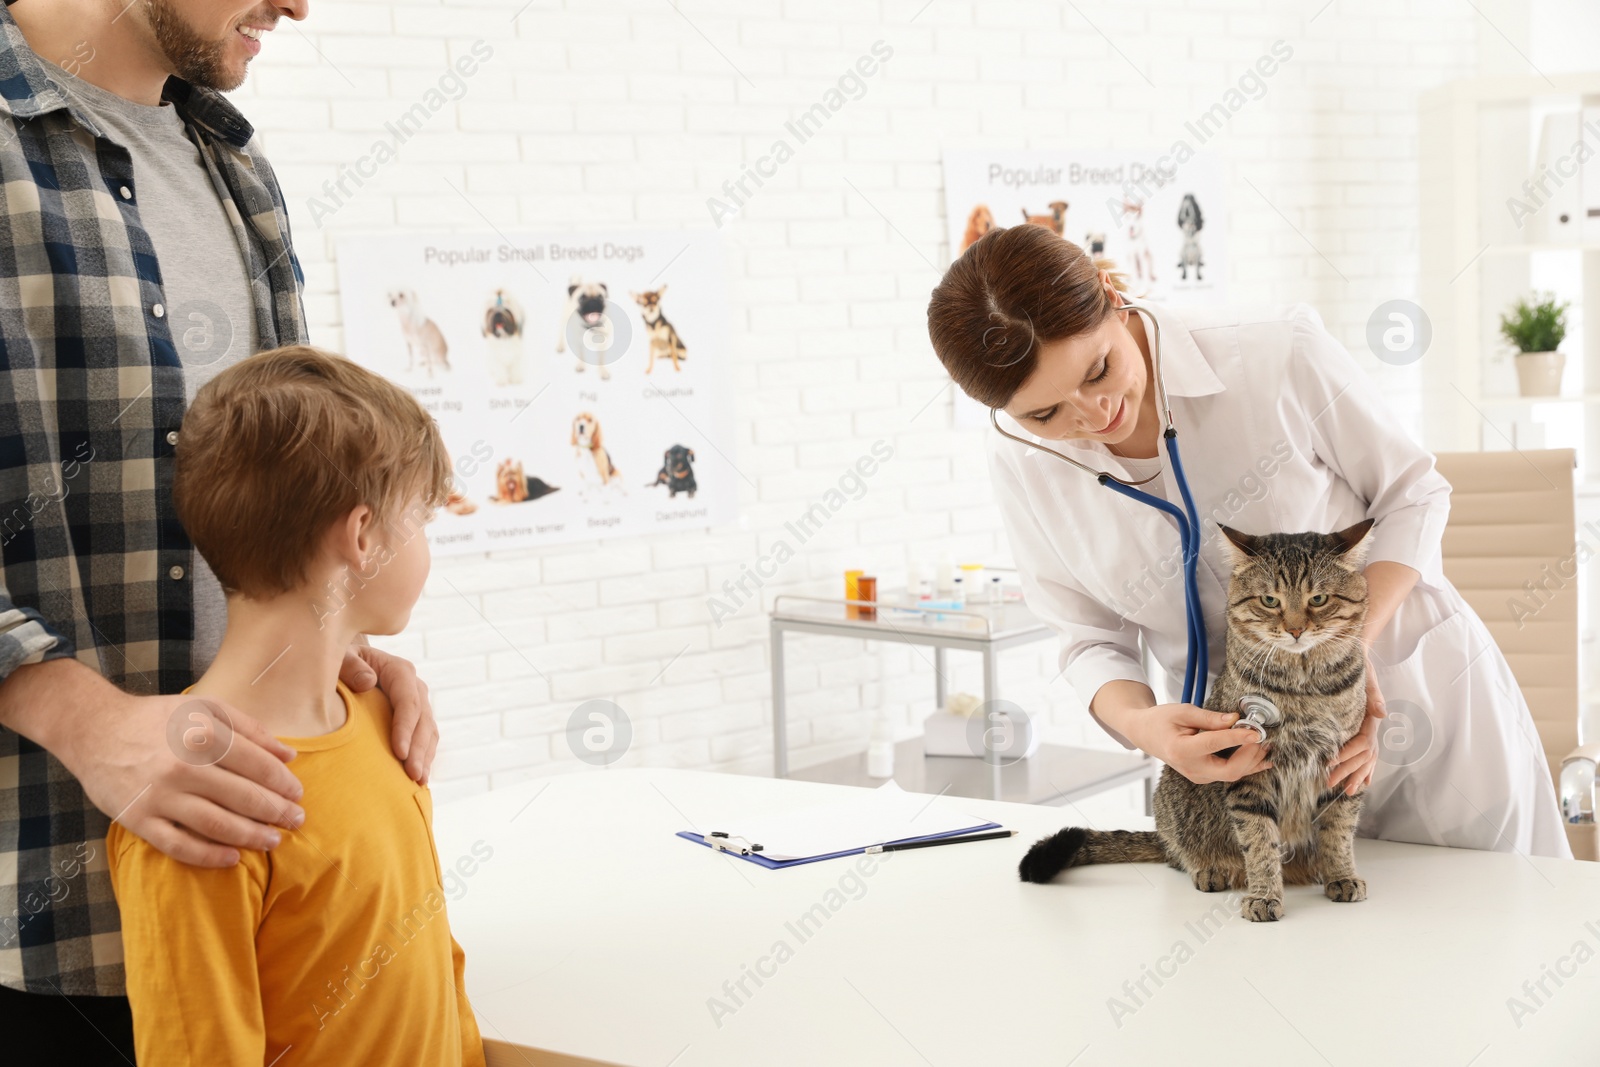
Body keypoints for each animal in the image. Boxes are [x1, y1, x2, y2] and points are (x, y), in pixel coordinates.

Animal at [1011, 521, 1376, 921]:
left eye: (1318, 599)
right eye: (1269, 601)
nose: (1296, 630)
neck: (1305, 686)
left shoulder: (1343, 766)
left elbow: (1338, 831)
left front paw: (1340, 873)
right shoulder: (1250, 775)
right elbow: (1259, 841)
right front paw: (1264, 894)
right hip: (1175, 799)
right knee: (1180, 854)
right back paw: (1211, 868)